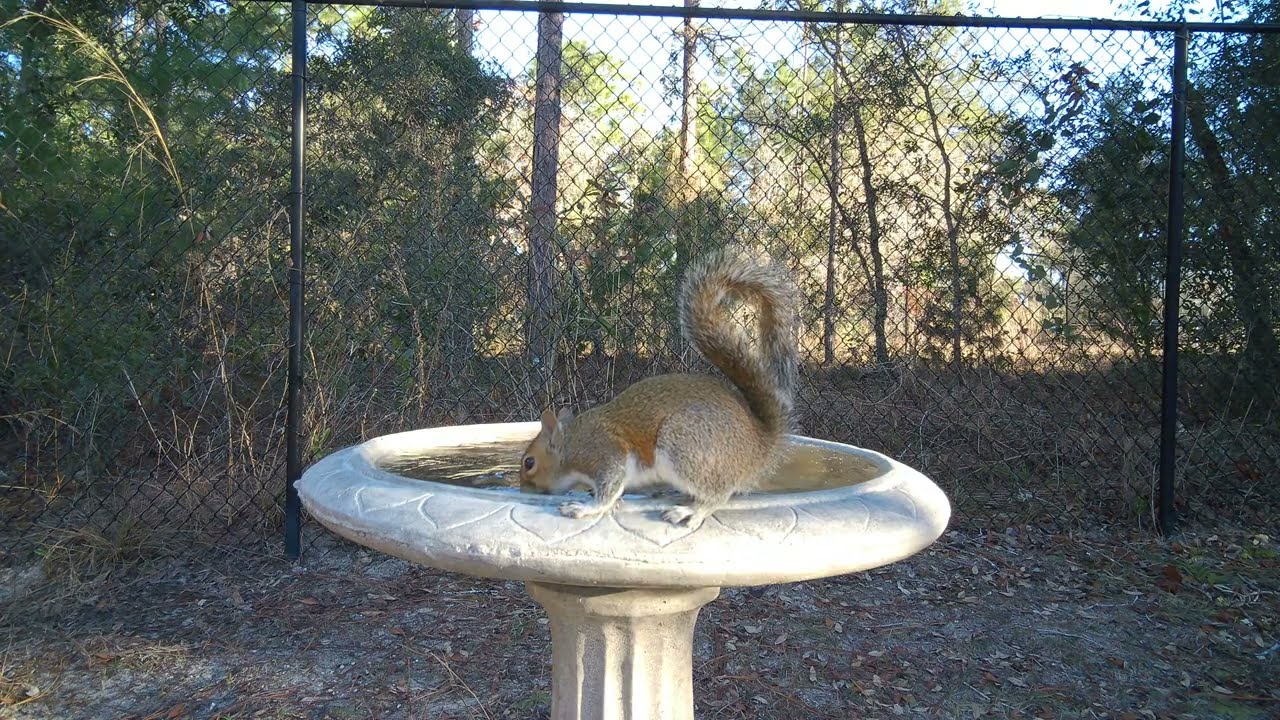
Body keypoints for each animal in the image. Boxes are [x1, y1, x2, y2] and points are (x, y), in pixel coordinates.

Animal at [517, 245, 800, 530]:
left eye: (529, 462)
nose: (522, 490)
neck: (571, 442)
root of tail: (760, 447)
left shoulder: (605, 452)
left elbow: (609, 486)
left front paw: (586, 507)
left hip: (685, 444)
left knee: (718, 494)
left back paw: (691, 512)